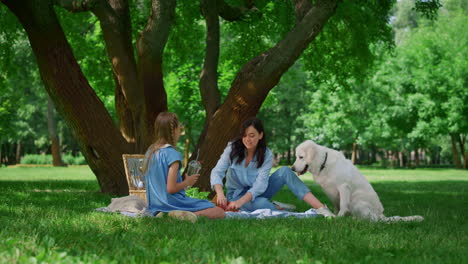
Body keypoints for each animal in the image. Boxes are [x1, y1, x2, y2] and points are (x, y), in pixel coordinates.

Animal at [290, 140, 422, 223]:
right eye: (296, 157)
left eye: (301, 157)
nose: (292, 168)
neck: (323, 163)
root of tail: (381, 215)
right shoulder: (331, 193)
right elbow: (337, 206)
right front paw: (334, 215)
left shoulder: (343, 187)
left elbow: (343, 205)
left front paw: (339, 218)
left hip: (357, 202)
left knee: (372, 221)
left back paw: (355, 220)